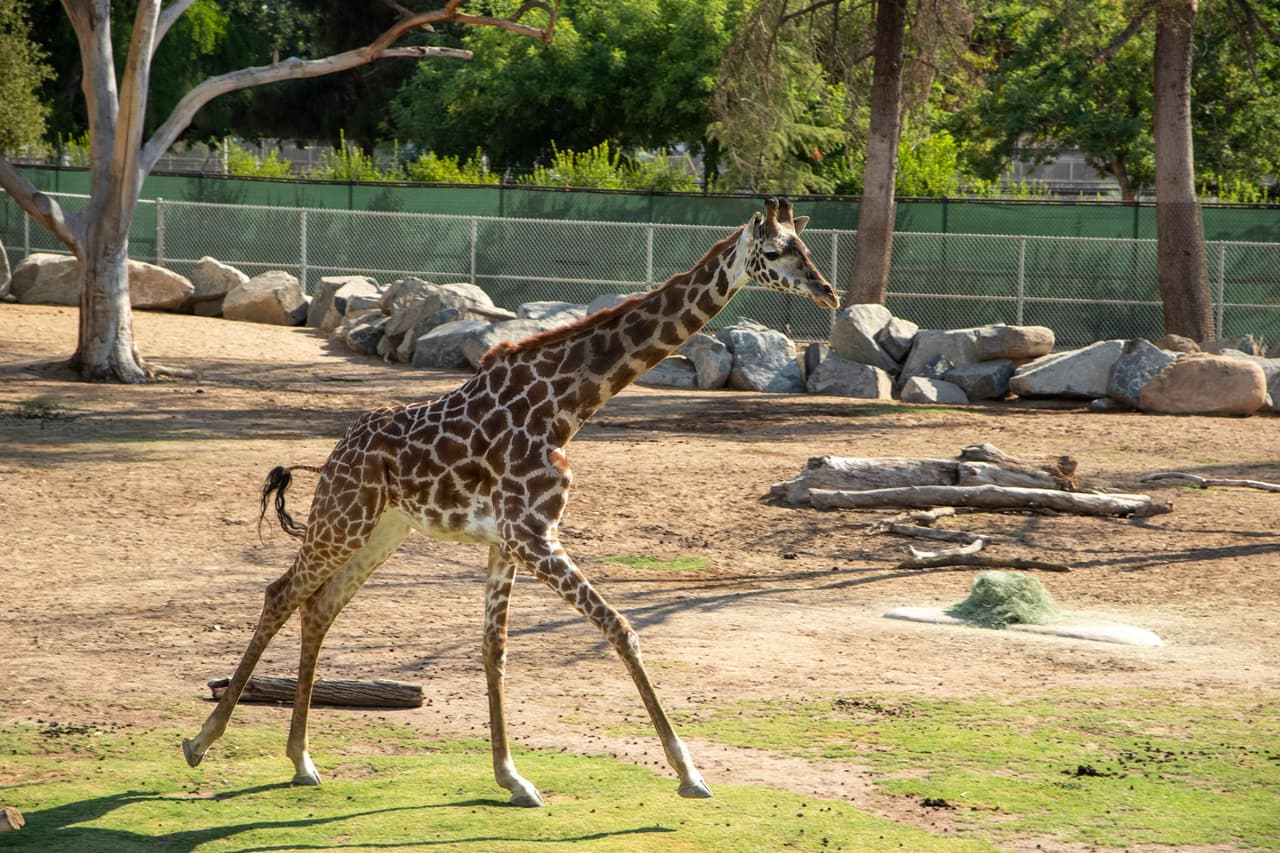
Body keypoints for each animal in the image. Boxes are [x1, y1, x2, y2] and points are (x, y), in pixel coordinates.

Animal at [182, 198, 839, 806]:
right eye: (776, 251)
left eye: (805, 247)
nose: (829, 292)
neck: (566, 407)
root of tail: (336, 452)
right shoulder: (534, 534)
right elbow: (620, 627)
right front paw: (690, 775)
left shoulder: (510, 539)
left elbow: (493, 647)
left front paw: (512, 778)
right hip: (343, 517)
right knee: (280, 594)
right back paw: (201, 742)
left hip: (383, 531)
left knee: (318, 608)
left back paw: (301, 760)